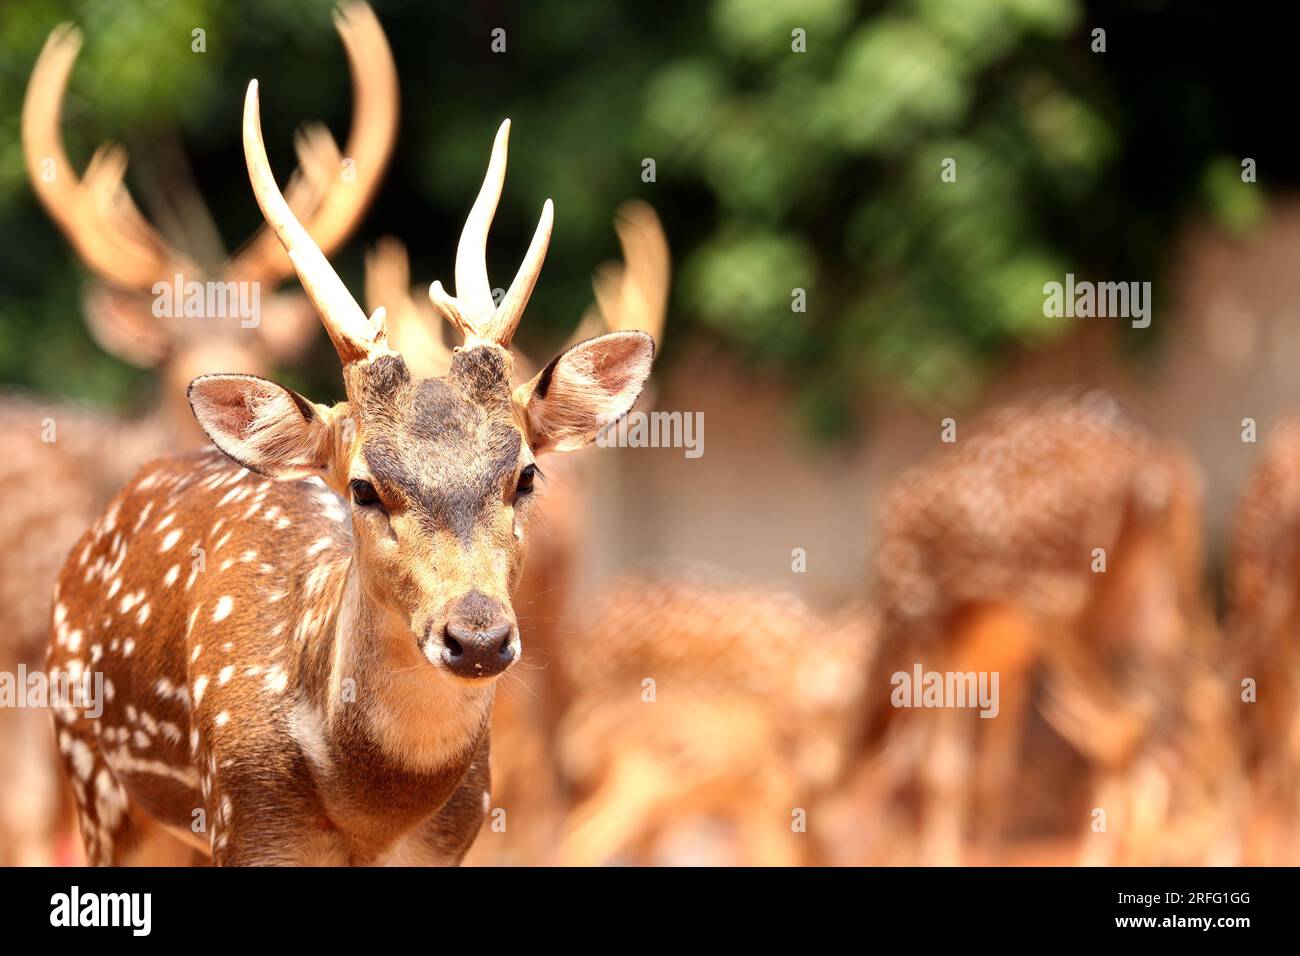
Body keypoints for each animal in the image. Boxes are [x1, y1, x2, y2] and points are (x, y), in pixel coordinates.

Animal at [852, 392, 1237, 868]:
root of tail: (1158, 471)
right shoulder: (1004, 664)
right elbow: (992, 772)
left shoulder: (932, 630)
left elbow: (942, 768)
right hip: (1154, 598)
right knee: (1202, 697)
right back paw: (1213, 845)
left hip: (1065, 603)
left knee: (1125, 722)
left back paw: (1111, 855)